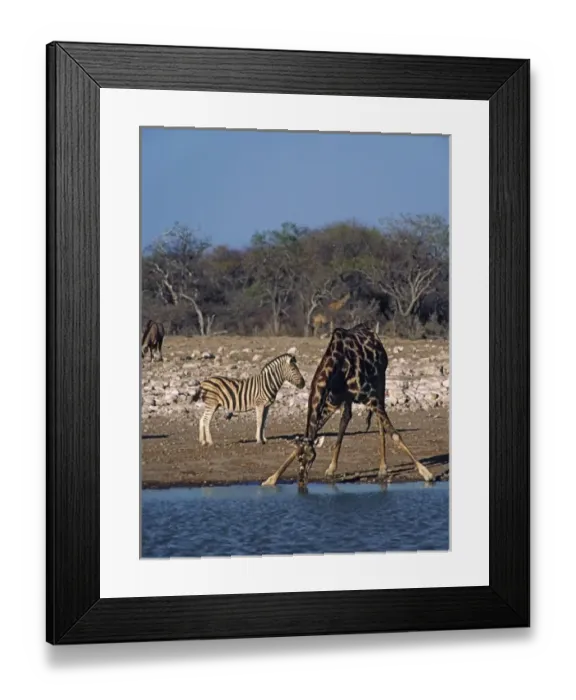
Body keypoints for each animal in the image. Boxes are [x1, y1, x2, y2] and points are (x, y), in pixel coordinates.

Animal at [261, 323, 435, 490]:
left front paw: (426, 473)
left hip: (380, 382)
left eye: (312, 458)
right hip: (346, 399)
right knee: (345, 419)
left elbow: (395, 434)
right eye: (299, 459)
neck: (337, 365)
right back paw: (332, 469)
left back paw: (382, 468)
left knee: (379, 424)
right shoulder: (331, 402)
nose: (301, 483)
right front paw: (271, 479)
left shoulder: (370, 397)